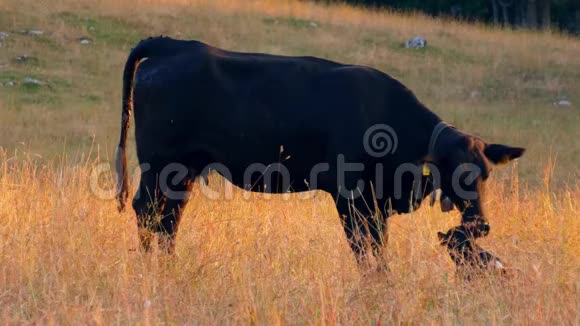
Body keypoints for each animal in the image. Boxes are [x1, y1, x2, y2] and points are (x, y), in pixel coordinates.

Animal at [115, 37, 524, 264]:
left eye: (486, 173)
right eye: (452, 172)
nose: (480, 224)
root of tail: (173, 45)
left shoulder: (378, 202)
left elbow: (378, 246)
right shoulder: (351, 196)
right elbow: (365, 247)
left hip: (185, 169)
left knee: (169, 217)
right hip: (160, 164)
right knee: (147, 211)